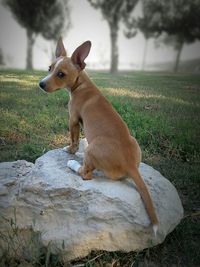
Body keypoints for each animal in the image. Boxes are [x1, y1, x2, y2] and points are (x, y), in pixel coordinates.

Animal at [38, 38, 158, 237]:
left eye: (61, 74)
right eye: (49, 68)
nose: (41, 84)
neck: (82, 84)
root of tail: (131, 165)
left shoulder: (73, 119)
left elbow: (73, 140)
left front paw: (69, 151)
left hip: (91, 149)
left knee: (86, 174)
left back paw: (73, 164)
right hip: (134, 141)